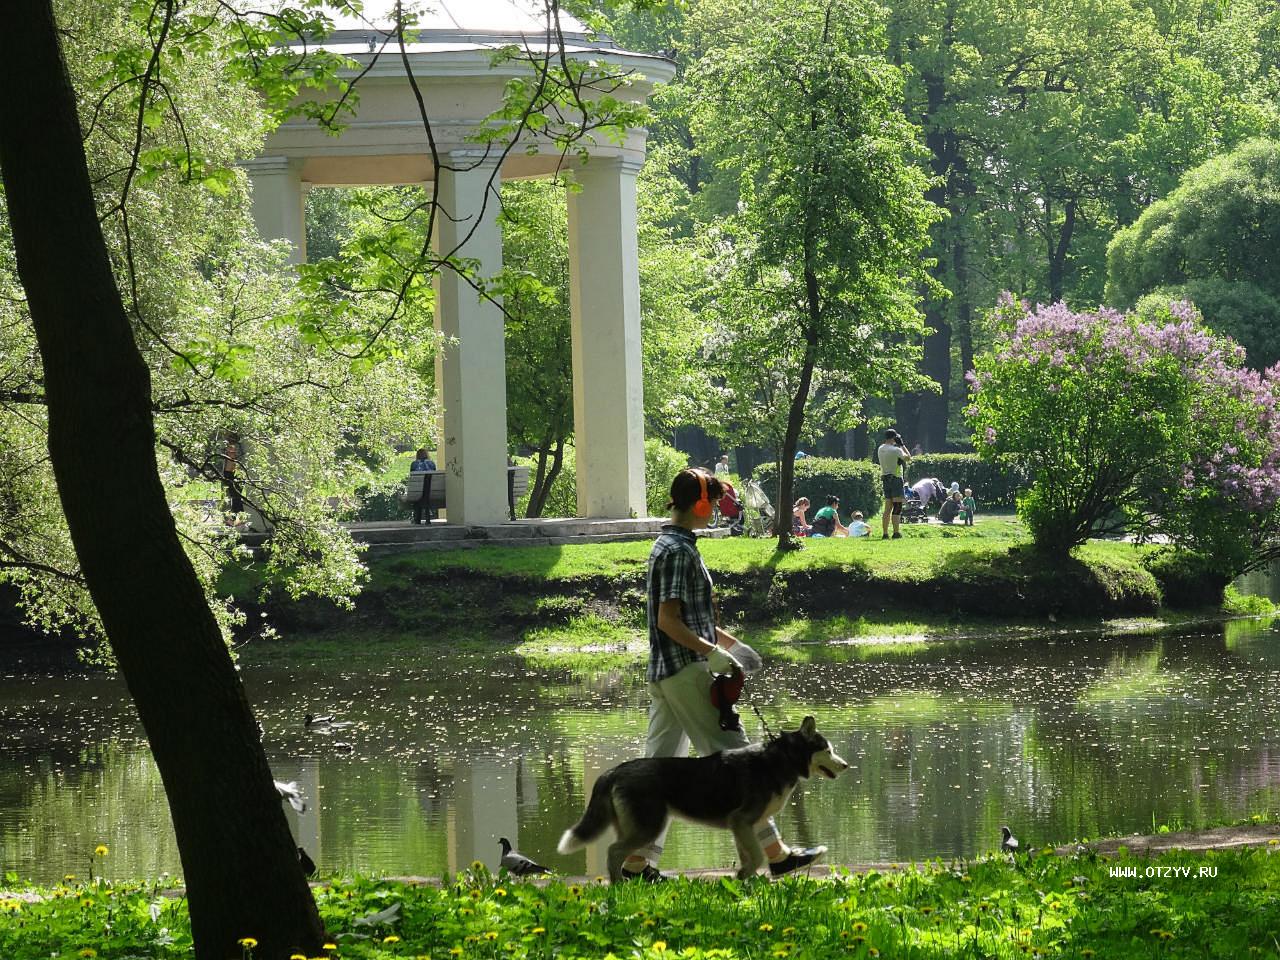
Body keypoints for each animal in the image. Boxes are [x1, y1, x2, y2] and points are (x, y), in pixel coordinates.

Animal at [555, 716, 844, 885]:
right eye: (828, 750)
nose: (846, 765)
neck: (781, 759)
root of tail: (614, 770)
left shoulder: (740, 826)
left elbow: (749, 856)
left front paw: (743, 881)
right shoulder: (742, 820)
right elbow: (758, 856)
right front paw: (747, 876)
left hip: (634, 826)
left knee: (619, 853)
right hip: (649, 826)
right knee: (614, 851)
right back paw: (618, 885)